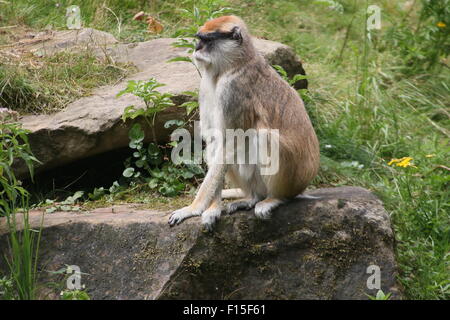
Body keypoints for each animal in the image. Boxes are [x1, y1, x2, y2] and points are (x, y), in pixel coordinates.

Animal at [169, 15, 320, 230]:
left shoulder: (233, 90)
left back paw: (274, 198)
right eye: (199, 39)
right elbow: (215, 142)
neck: (235, 64)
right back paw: (251, 198)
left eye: (207, 40)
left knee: (264, 136)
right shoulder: (205, 86)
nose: (197, 48)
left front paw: (192, 209)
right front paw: (212, 209)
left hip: (293, 178)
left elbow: (229, 142)